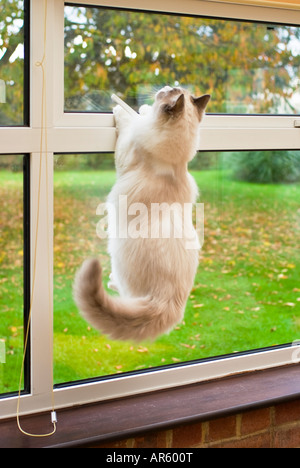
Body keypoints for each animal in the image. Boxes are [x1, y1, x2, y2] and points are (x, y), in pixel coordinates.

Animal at [73, 85, 210, 340]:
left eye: (169, 90)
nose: (164, 87)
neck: (175, 161)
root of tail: (170, 303)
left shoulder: (126, 147)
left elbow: (128, 122)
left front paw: (122, 109)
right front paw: (143, 109)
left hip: (117, 251)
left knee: (125, 294)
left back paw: (112, 282)